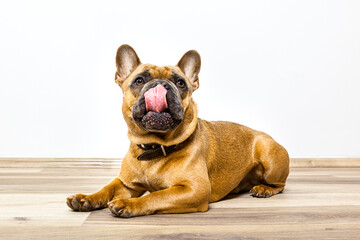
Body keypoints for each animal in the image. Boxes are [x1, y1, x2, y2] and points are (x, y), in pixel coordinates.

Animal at [65, 44, 290, 218]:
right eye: (139, 81)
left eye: (181, 83)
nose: (160, 85)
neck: (155, 146)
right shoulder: (126, 184)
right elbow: (107, 187)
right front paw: (86, 198)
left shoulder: (193, 189)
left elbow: (157, 195)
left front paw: (128, 204)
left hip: (269, 157)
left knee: (280, 184)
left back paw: (264, 189)